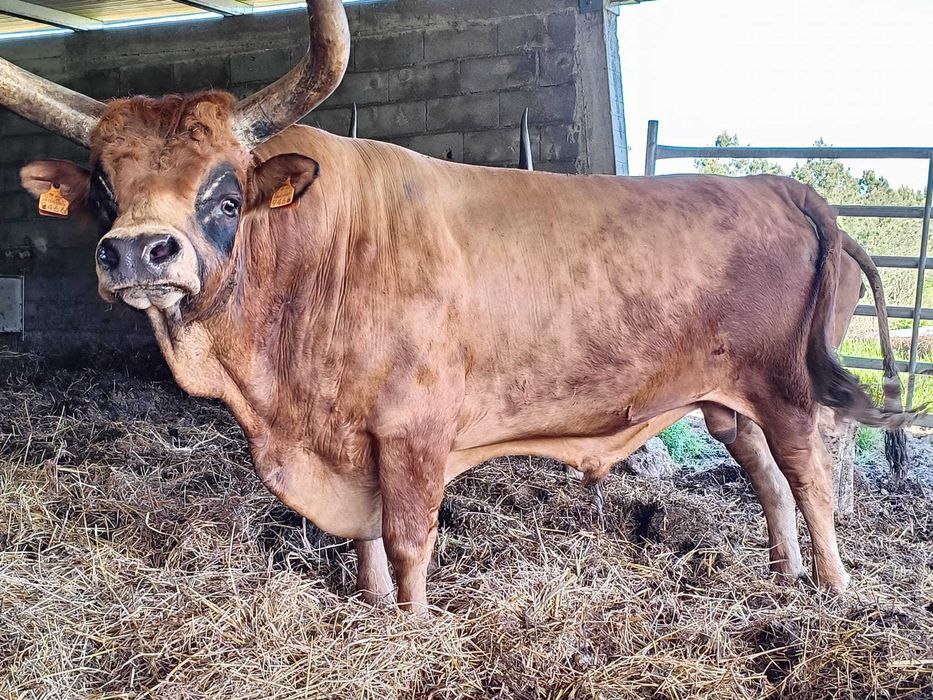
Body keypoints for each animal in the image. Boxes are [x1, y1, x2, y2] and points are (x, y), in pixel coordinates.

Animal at [0, 0, 914, 612]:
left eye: (226, 196)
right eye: (104, 190)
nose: (136, 252)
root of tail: (785, 187)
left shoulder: (414, 432)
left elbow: (409, 538)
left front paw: (411, 624)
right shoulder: (348, 441)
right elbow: (366, 534)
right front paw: (371, 607)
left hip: (789, 388)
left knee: (810, 478)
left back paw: (831, 588)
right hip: (725, 397)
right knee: (765, 479)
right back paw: (783, 575)